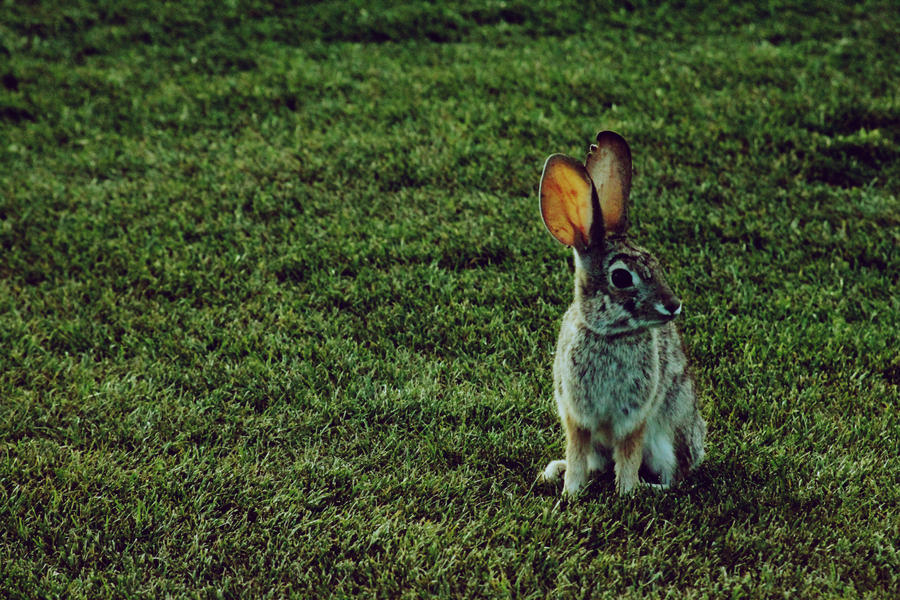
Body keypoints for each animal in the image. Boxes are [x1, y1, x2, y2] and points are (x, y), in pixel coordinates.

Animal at [538, 130, 706, 496]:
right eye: (621, 278)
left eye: (655, 262)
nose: (673, 305)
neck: (608, 334)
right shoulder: (577, 414)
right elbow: (577, 450)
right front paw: (571, 491)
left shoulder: (634, 417)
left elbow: (628, 454)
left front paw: (627, 493)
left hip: (668, 437)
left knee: (675, 476)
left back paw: (650, 488)